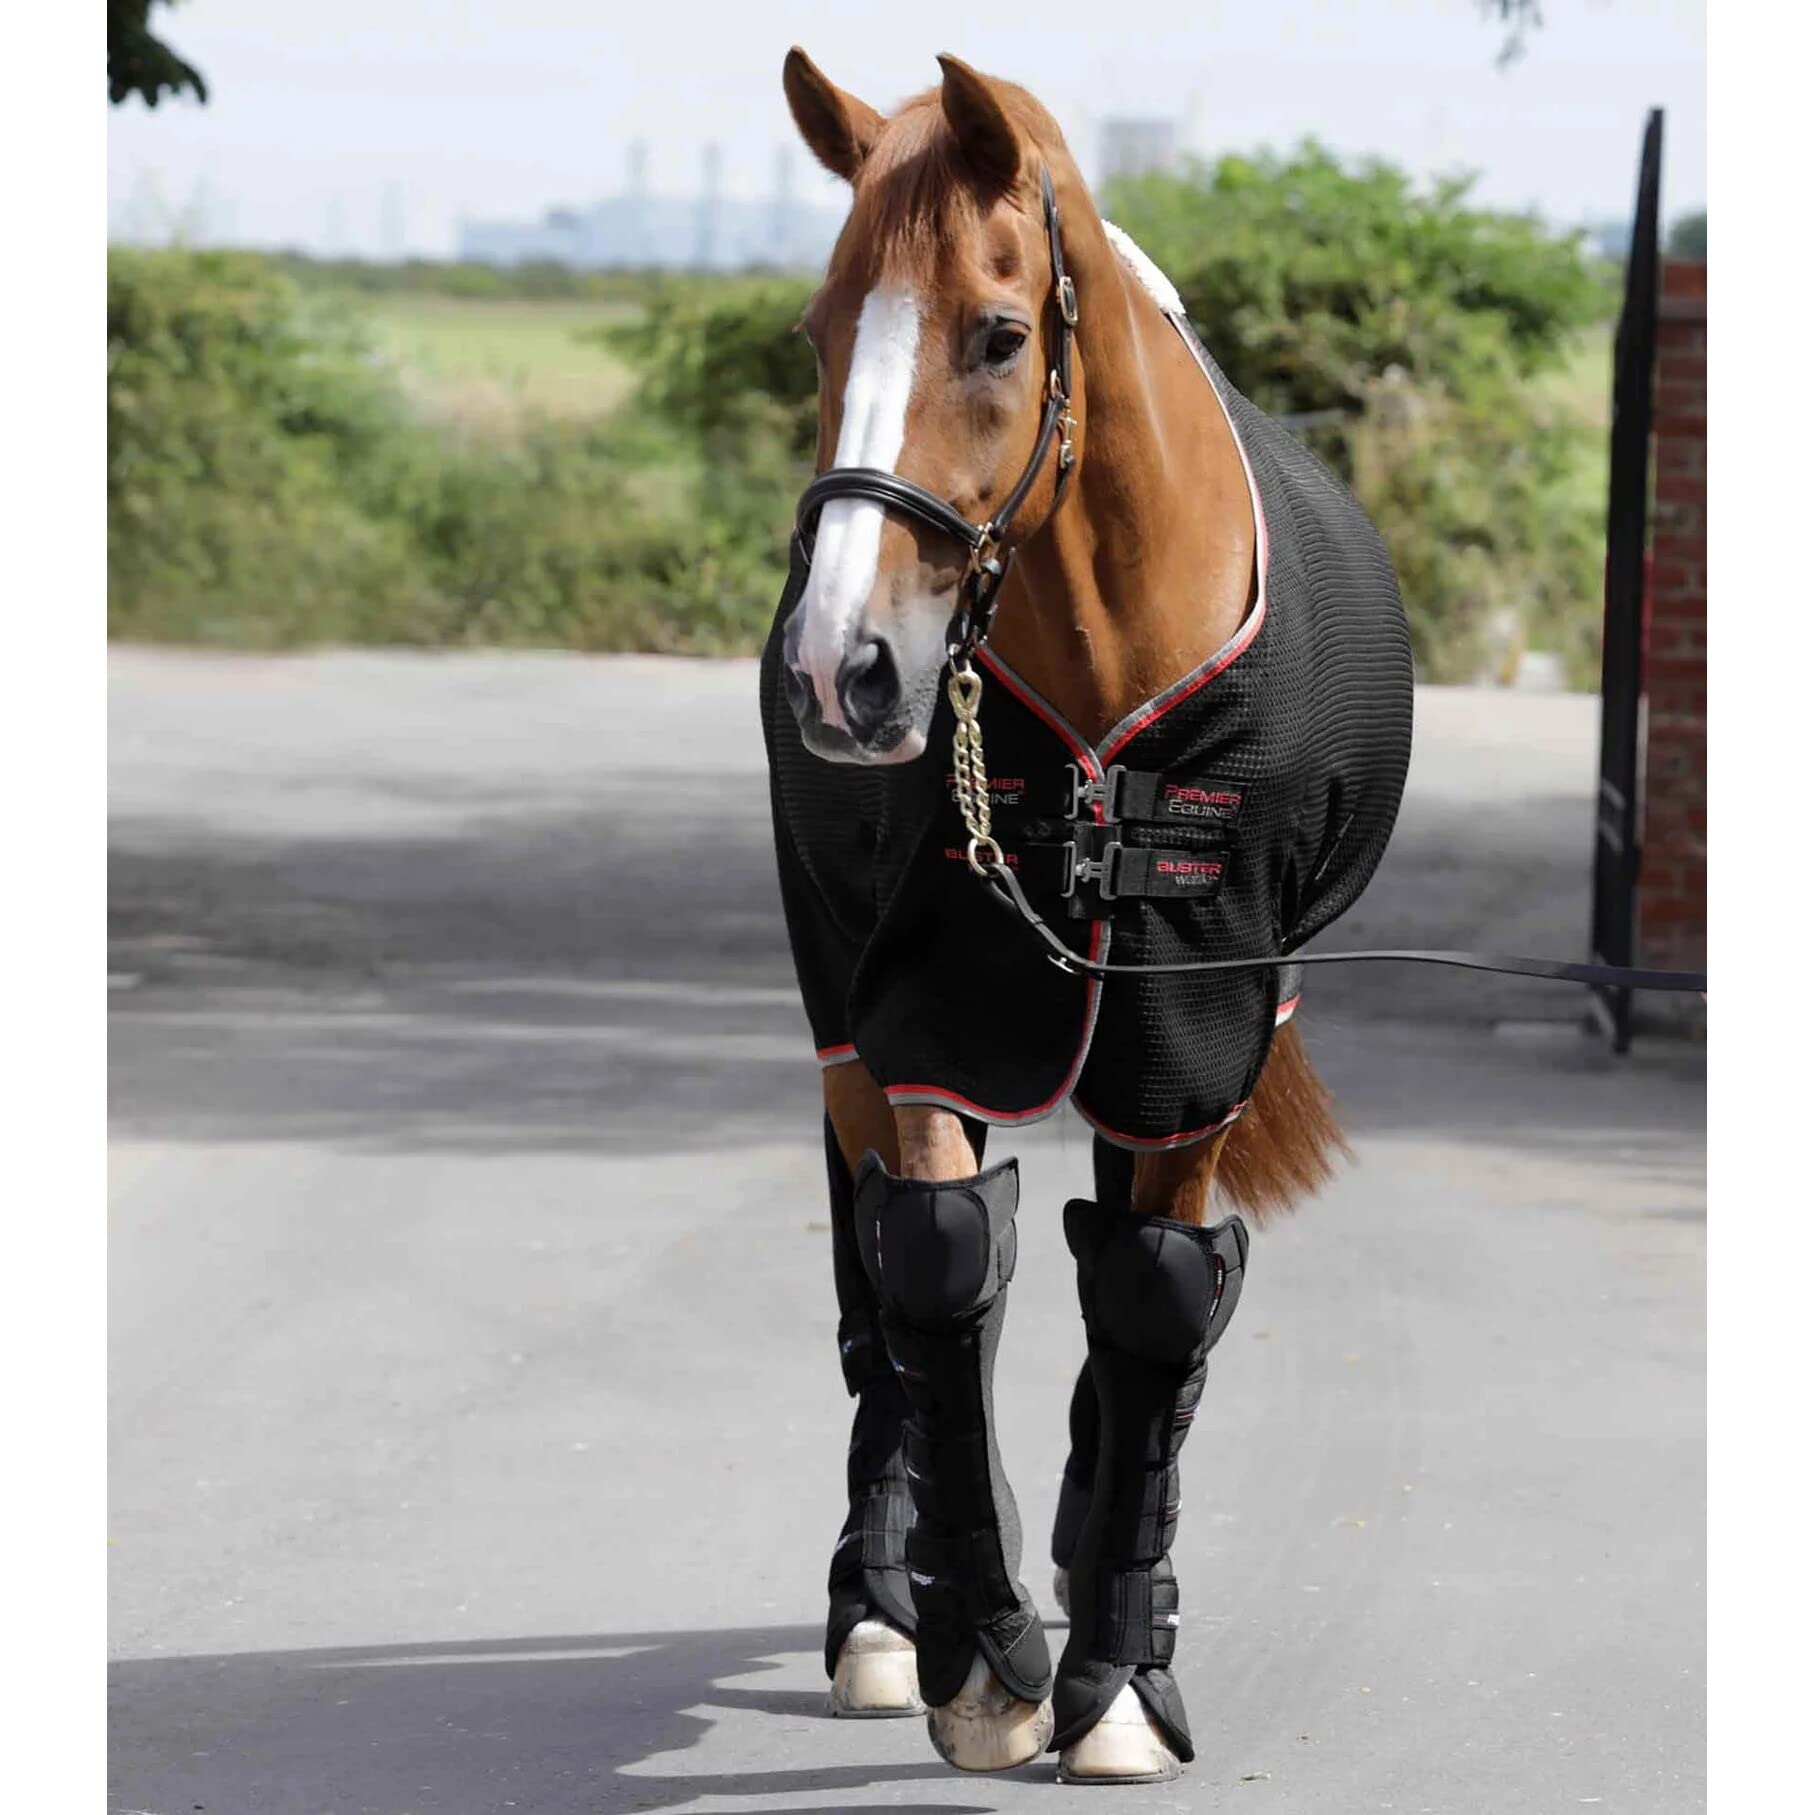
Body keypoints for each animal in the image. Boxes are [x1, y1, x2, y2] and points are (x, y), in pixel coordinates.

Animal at [759, 49, 1414, 1783]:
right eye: (820, 330)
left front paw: (1115, 1673)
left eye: (996, 334)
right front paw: (977, 1652)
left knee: (1130, 1274)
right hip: (843, 994)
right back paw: (884, 1598)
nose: (841, 671)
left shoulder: (1199, 1015)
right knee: (888, 1269)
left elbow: (1153, 1292)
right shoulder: (930, 996)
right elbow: (930, 1266)